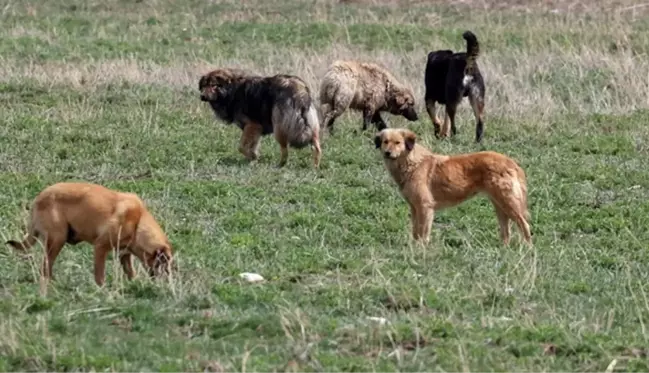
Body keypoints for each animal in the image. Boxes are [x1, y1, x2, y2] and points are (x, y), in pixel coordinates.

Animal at [6, 182, 173, 286]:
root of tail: (38, 199)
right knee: (45, 267)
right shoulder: (100, 247)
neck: (138, 221)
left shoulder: (124, 254)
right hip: (57, 240)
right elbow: (99, 275)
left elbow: (130, 273)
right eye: (164, 263)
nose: (166, 281)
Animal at [374, 128, 532, 244]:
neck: (411, 162)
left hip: (508, 203)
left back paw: (527, 249)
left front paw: (421, 250)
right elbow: (415, 232)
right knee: (506, 231)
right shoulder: (414, 207)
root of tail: (511, 162)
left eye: (397, 142)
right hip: (499, 205)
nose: (387, 153)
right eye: (385, 142)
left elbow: (423, 233)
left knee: (525, 225)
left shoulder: (425, 207)